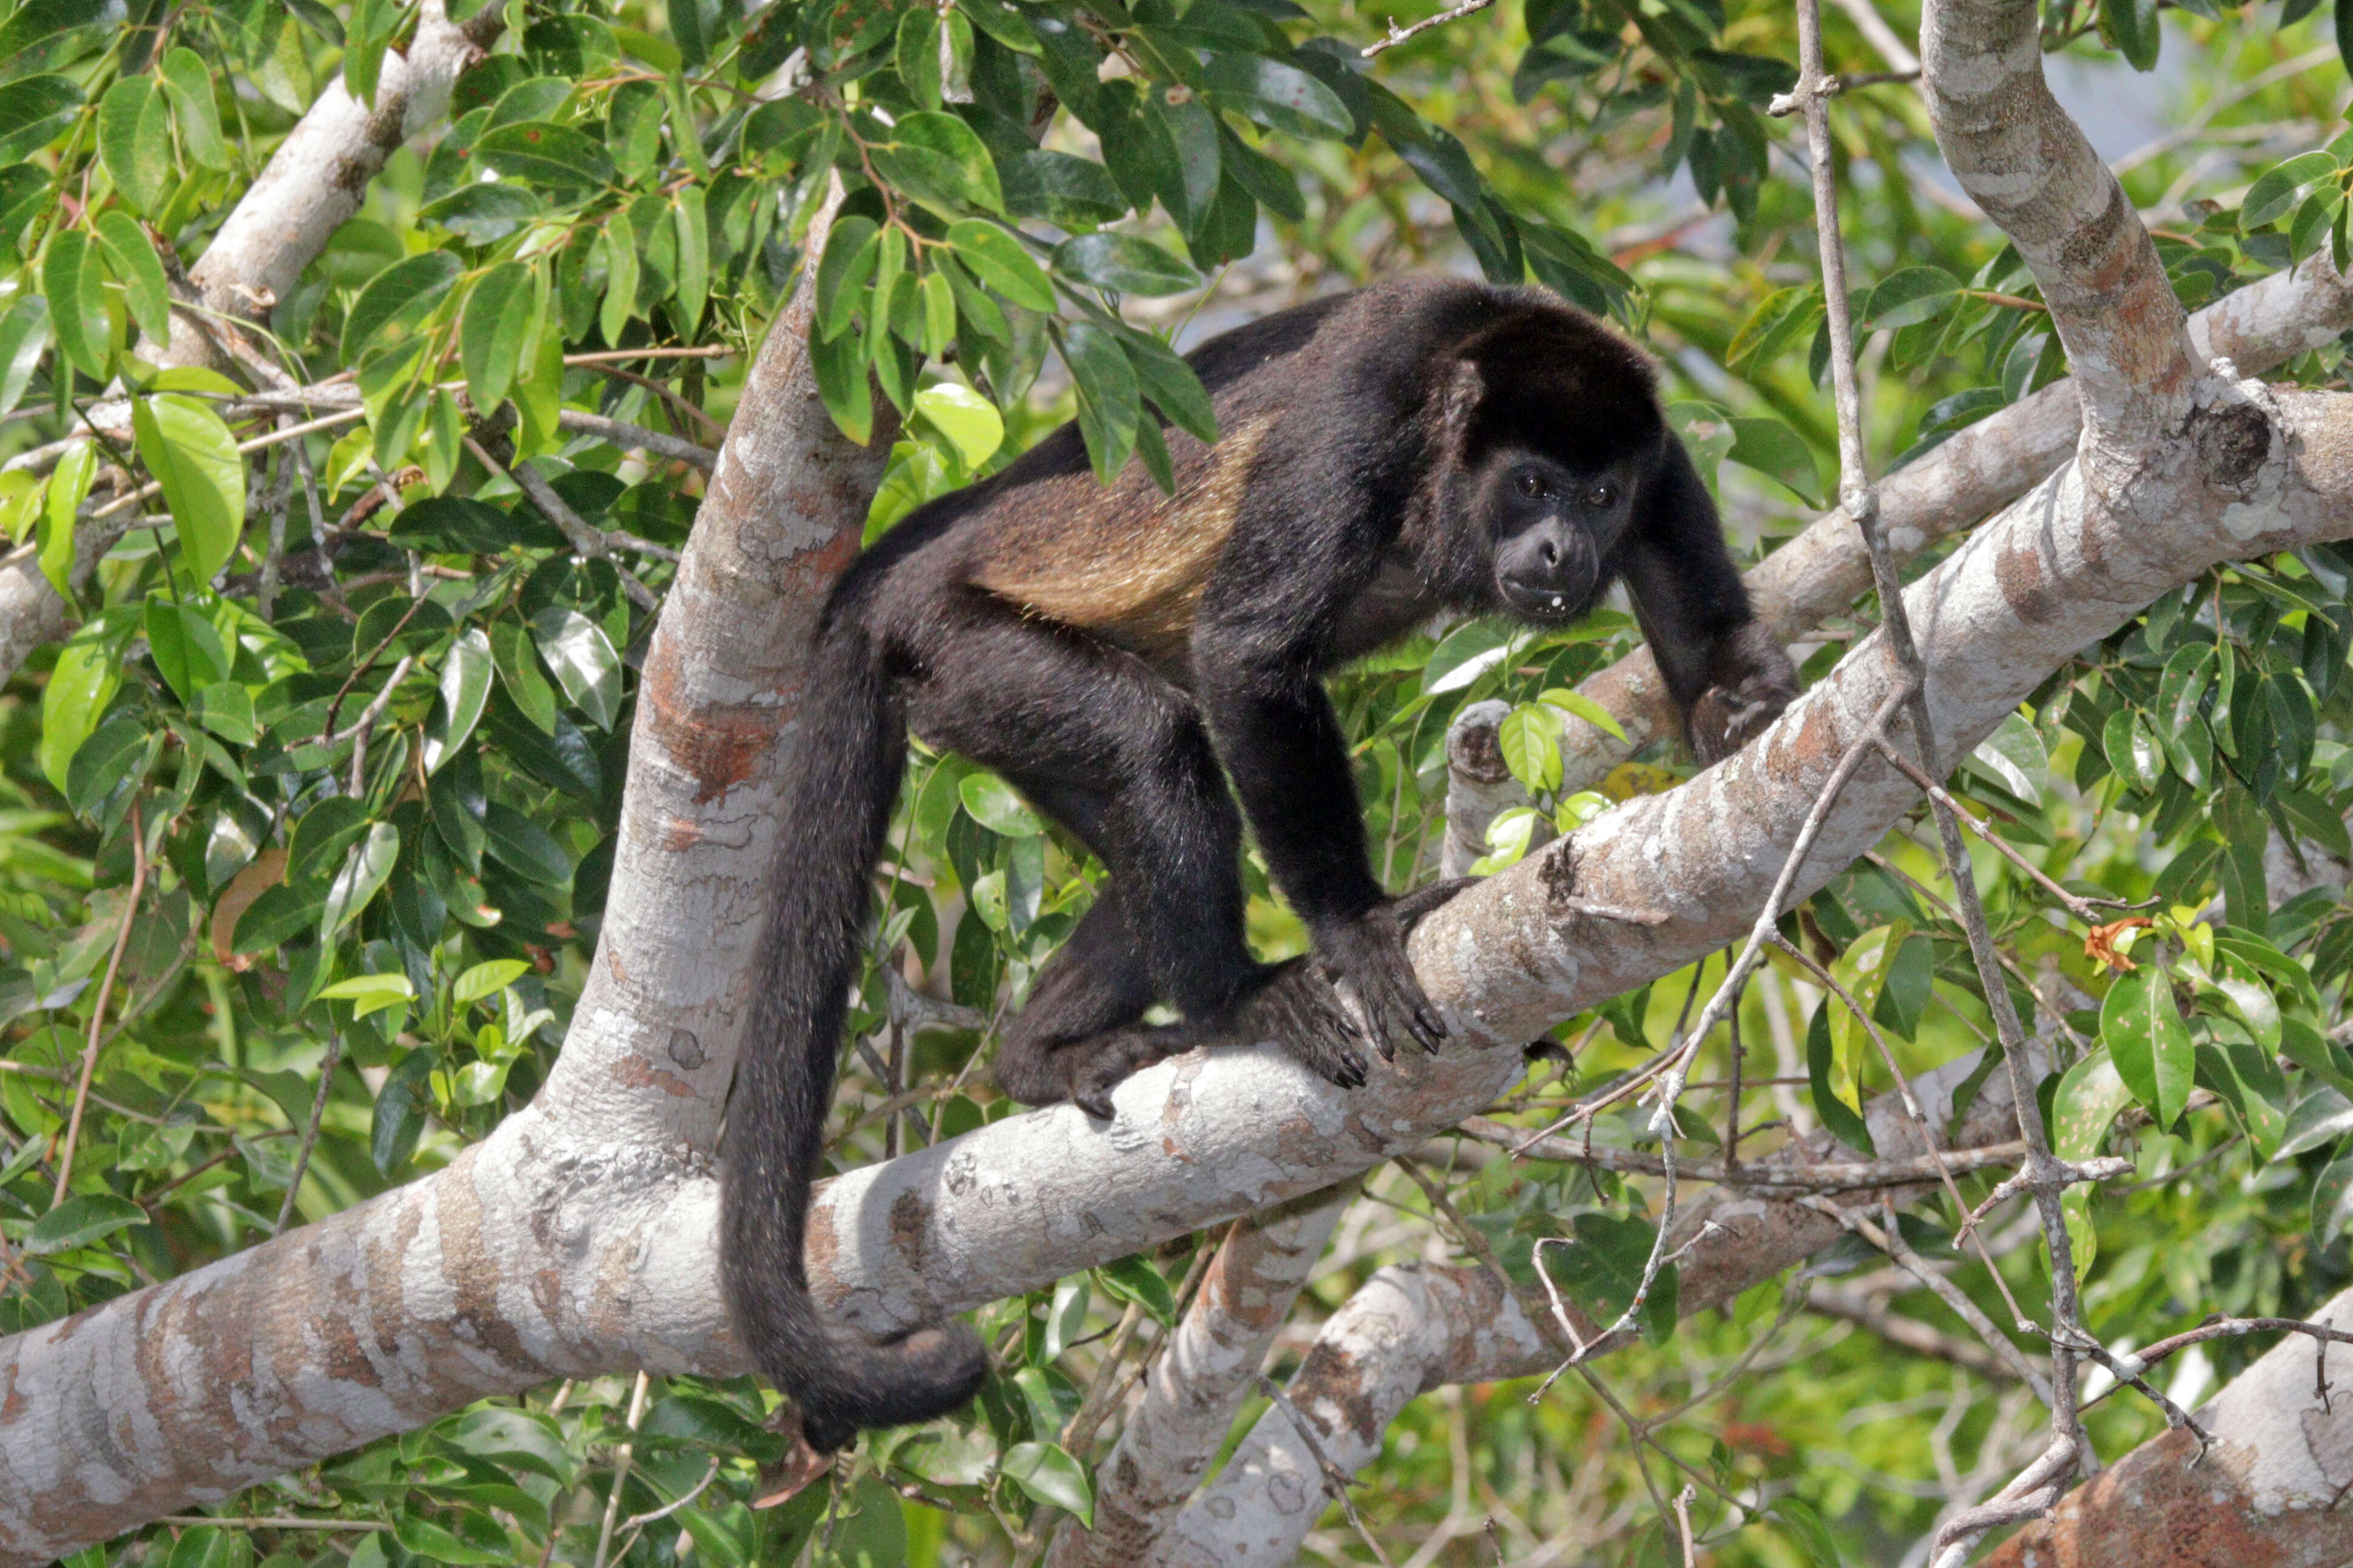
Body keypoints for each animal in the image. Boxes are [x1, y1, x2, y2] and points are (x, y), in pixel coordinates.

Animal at [724, 274, 1788, 1450]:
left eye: (1599, 494)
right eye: (1530, 484)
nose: (1562, 548)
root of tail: (901, 564)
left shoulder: (1663, 464)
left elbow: (1707, 653)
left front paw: (1756, 722)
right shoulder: (1364, 410)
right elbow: (1248, 648)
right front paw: (1361, 928)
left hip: (980, 707)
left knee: (1160, 801)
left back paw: (1040, 1052)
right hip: (964, 649)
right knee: (1155, 737)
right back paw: (1233, 1003)